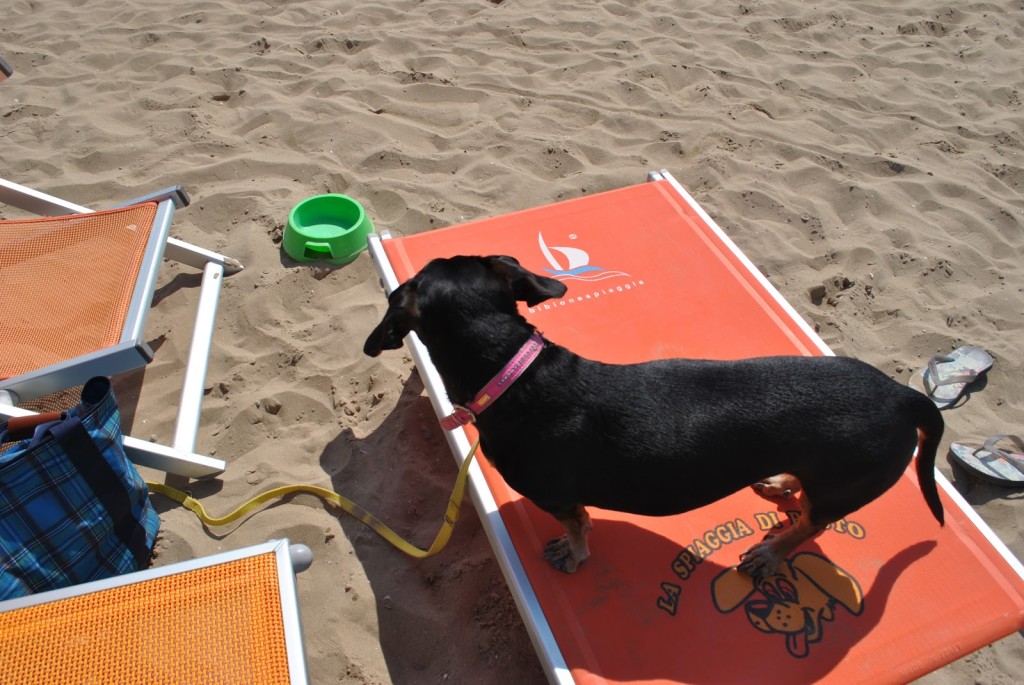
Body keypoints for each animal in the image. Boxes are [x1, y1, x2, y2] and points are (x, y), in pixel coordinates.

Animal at [364, 253, 946, 573]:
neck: (516, 371)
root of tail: (904, 396)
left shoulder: (558, 498)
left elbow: (578, 527)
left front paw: (573, 554)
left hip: (844, 487)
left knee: (811, 525)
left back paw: (774, 552)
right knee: (803, 501)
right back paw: (781, 483)